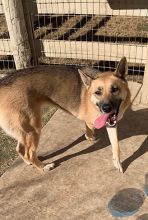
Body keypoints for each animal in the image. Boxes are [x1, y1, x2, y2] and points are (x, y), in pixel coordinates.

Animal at [0, 56, 131, 172]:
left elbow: (116, 145)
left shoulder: (111, 124)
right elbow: (90, 126)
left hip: (26, 131)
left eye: (115, 89)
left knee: (20, 149)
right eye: (98, 92)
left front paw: (117, 163)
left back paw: (29, 162)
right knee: (29, 153)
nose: (106, 108)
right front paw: (89, 135)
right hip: (33, 129)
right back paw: (43, 167)